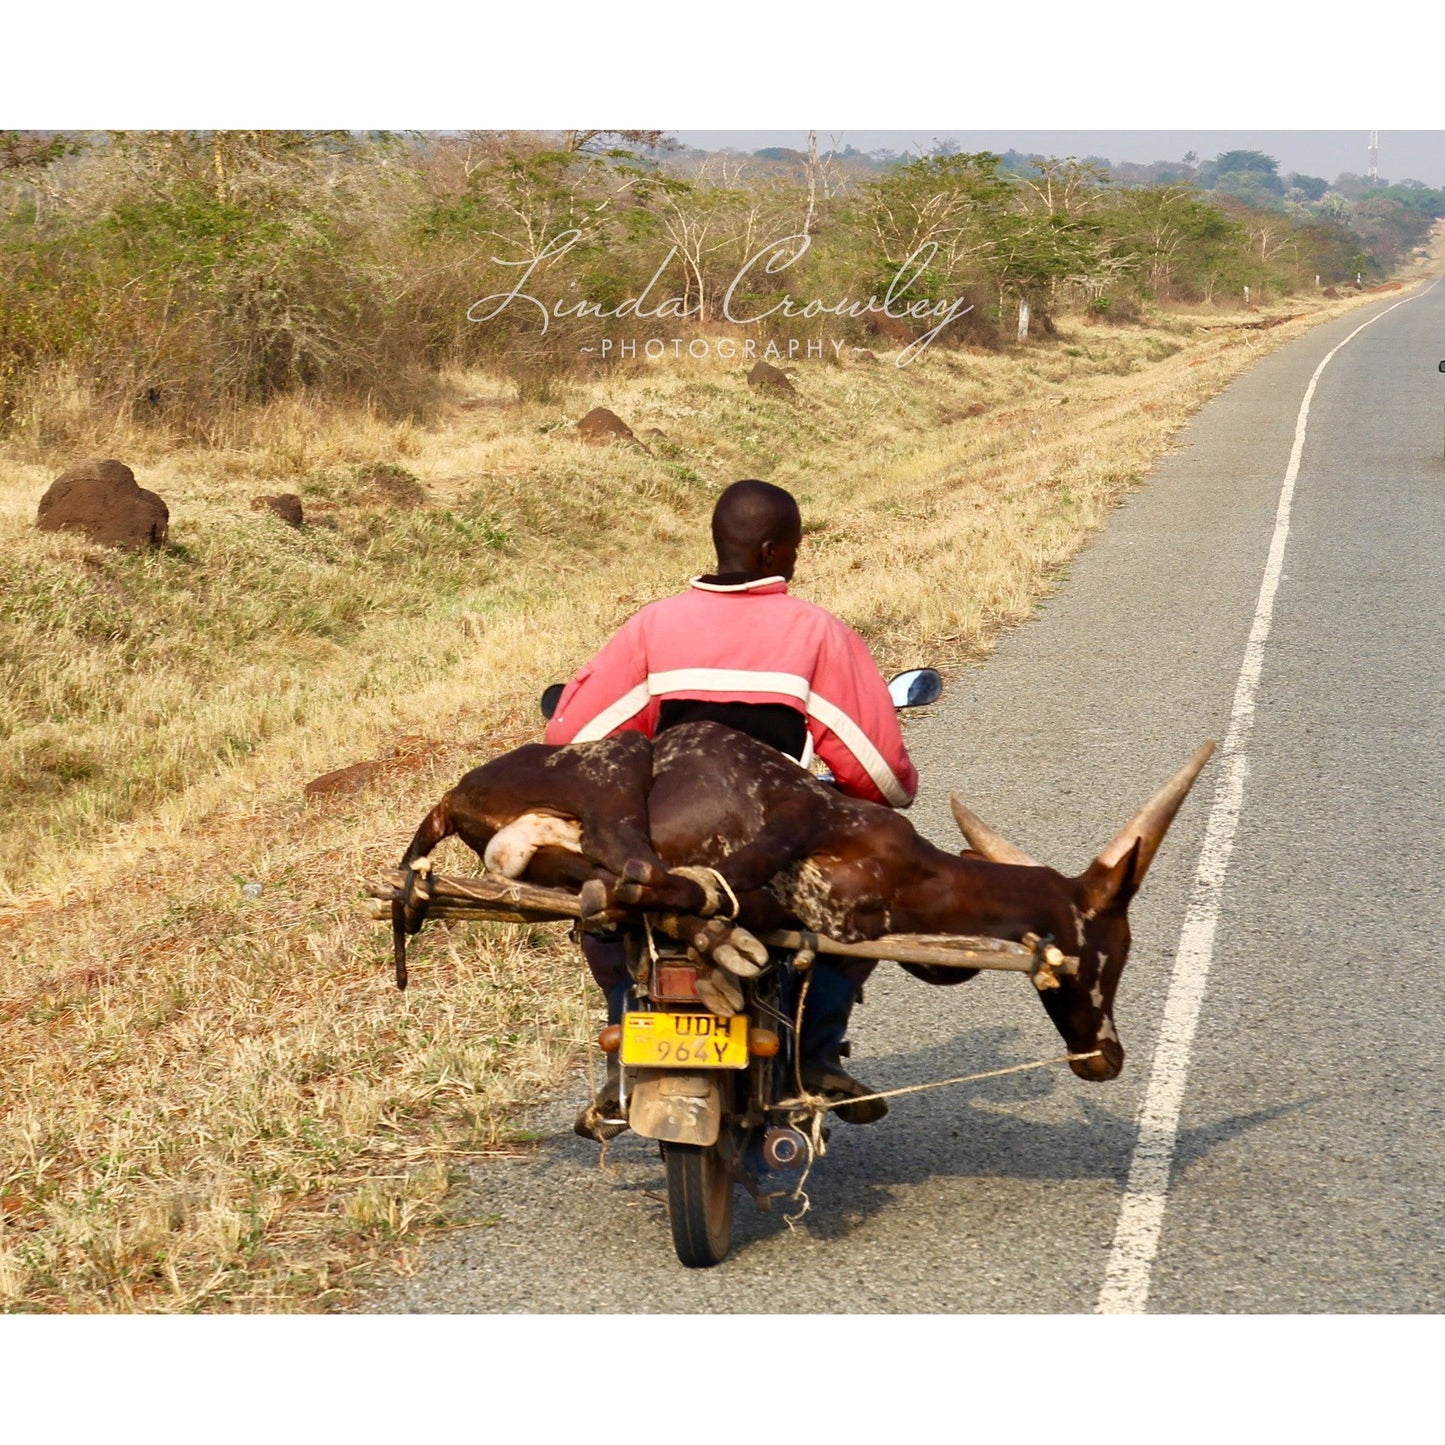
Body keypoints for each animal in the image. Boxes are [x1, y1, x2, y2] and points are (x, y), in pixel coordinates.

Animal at [394, 723, 1213, 1081]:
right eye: (1114, 948)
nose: (1106, 1056)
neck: (919, 877)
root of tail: (452, 791)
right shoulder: (796, 820)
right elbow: (676, 884)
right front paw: (721, 939)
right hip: (615, 769)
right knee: (630, 869)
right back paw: (716, 947)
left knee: (591, 878)